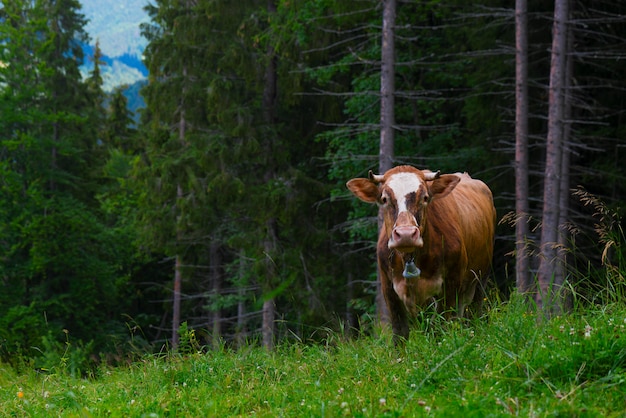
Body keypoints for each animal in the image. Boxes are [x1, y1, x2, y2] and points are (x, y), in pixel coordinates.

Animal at [344, 164, 494, 340]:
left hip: (480, 277)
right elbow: (401, 332)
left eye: (425, 197)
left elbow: (442, 327)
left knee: (474, 312)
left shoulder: (452, 283)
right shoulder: (389, 289)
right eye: (384, 199)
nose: (406, 234)